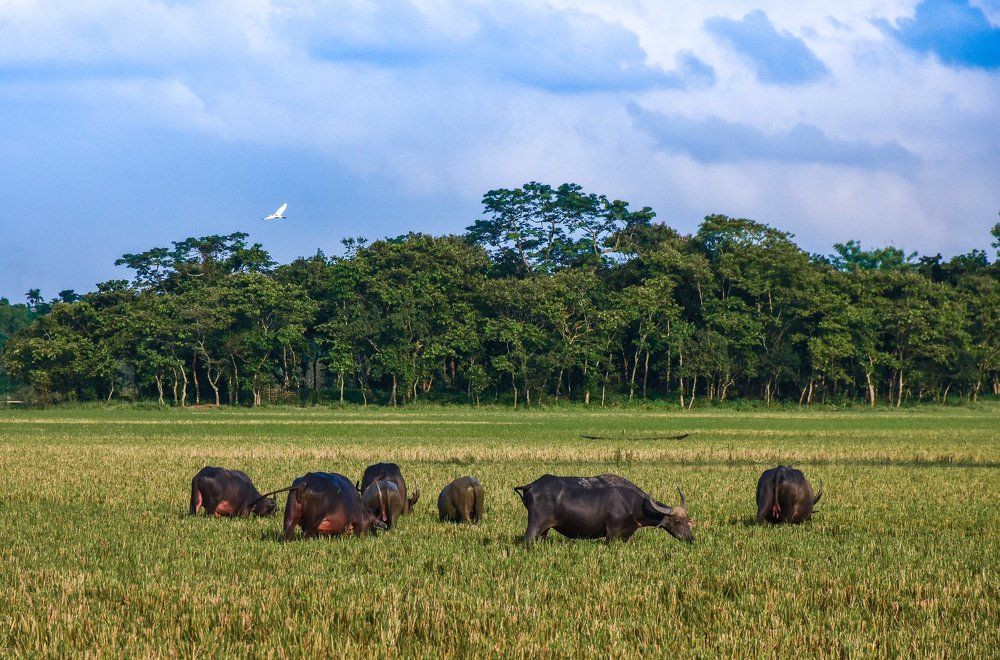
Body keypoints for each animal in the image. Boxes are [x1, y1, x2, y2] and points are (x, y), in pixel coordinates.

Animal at [513, 473, 693, 546]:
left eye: (689, 521)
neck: (633, 503)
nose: (691, 539)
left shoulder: (626, 535)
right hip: (534, 525)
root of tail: (532, 485)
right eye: (677, 521)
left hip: (545, 530)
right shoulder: (611, 533)